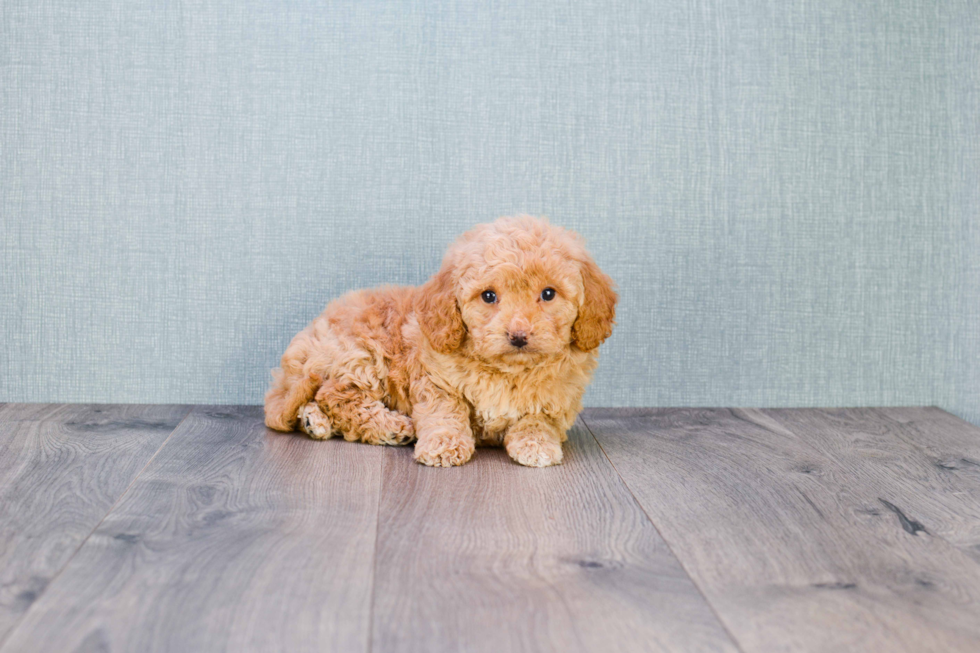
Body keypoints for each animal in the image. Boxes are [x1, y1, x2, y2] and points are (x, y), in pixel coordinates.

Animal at [264, 216, 616, 466]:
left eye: (548, 294)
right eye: (489, 296)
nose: (518, 336)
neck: (508, 372)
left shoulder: (558, 398)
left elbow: (538, 419)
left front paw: (536, 445)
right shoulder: (436, 381)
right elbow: (445, 412)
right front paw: (444, 446)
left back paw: (314, 421)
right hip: (363, 355)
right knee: (336, 395)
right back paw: (391, 426)